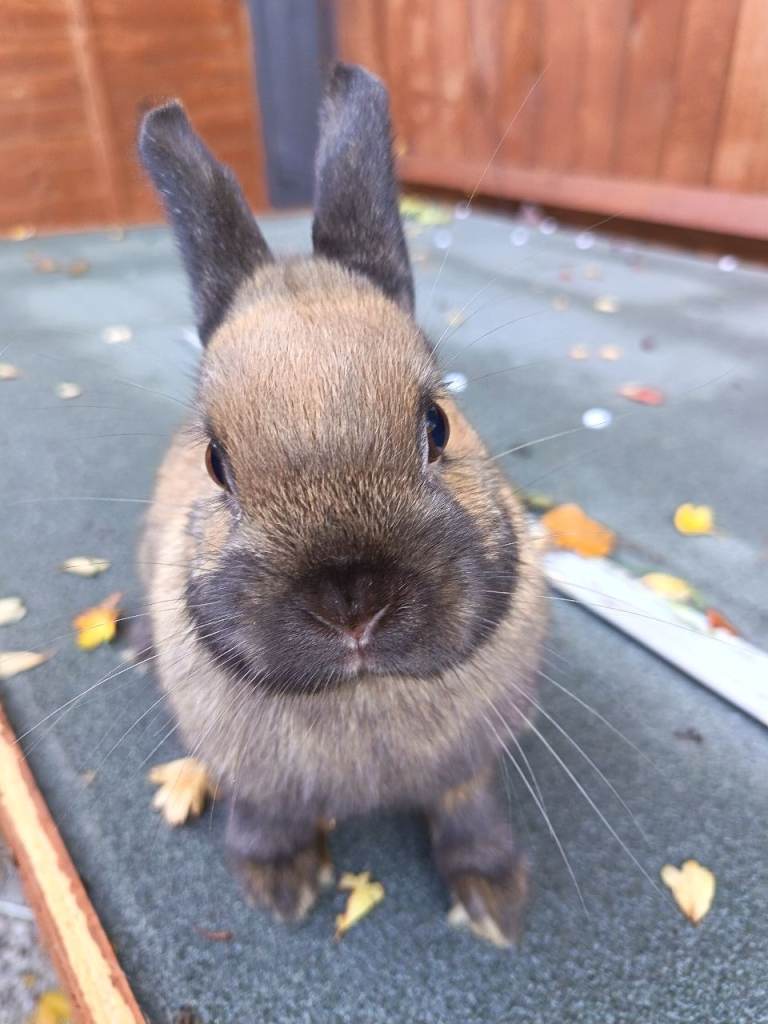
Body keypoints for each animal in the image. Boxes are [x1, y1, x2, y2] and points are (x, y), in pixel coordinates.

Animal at [137, 62, 546, 948]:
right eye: (216, 462)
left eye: (437, 423)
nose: (353, 605)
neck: (363, 692)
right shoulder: (255, 780)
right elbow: (266, 818)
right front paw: (279, 886)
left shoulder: (470, 770)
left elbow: (470, 811)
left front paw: (494, 899)